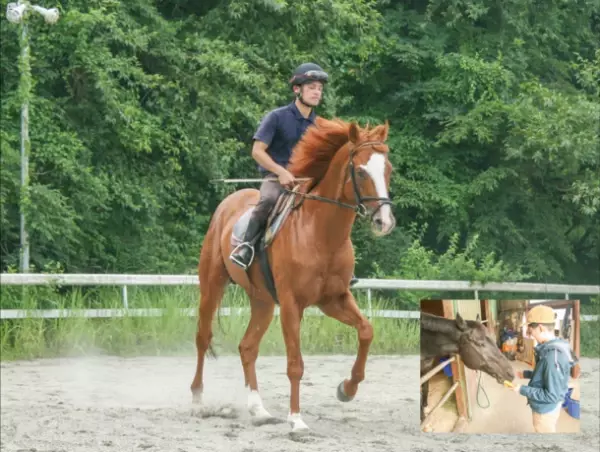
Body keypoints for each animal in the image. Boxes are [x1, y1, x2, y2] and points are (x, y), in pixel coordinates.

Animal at [190, 117, 396, 434]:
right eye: (361, 171)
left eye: (388, 170)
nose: (384, 222)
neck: (320, 233)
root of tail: (230, 201)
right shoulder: (291, 304)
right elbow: (295, 364)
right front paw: (296, 419)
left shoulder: (334, 299)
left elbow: (366, 331)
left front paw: (346, 389)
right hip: (212, 286)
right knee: (203, 338)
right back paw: (199, 401)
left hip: (262, 302)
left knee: (247, 347)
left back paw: (259, 410)